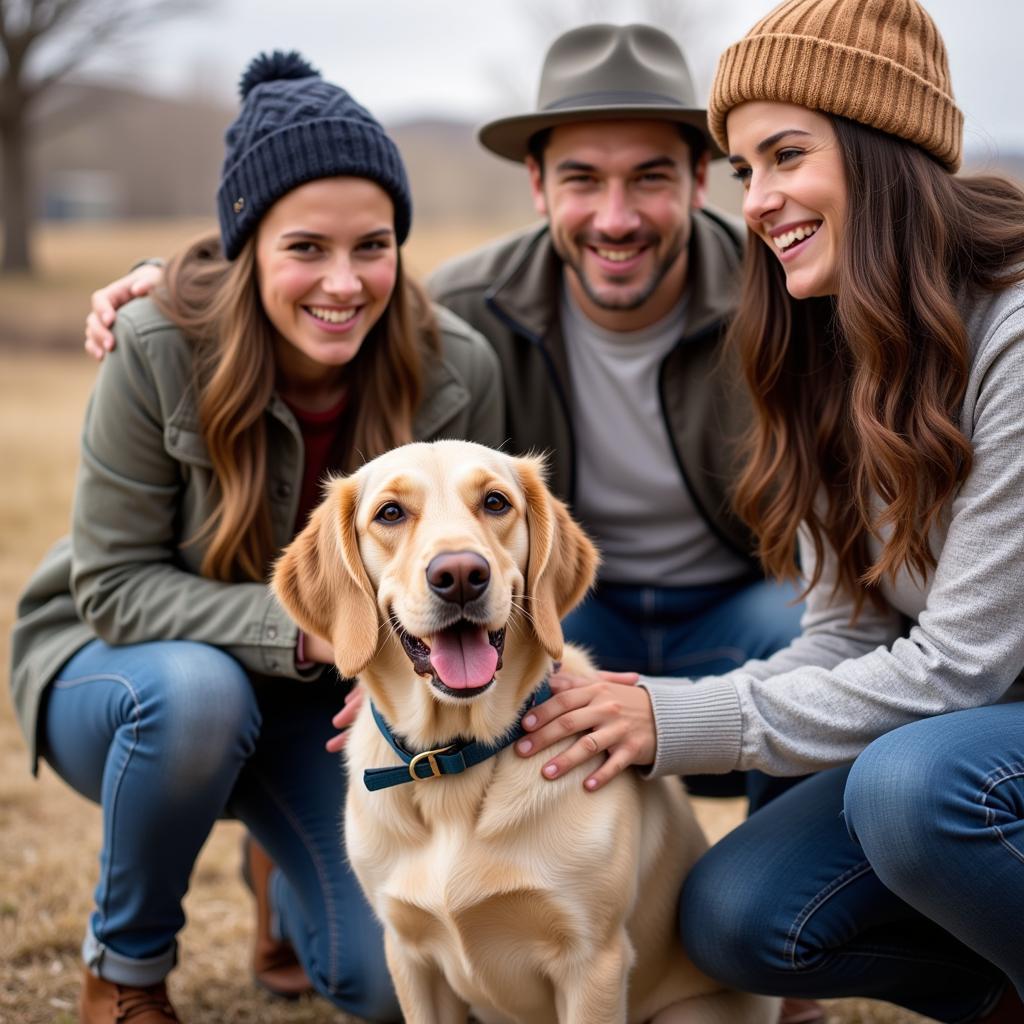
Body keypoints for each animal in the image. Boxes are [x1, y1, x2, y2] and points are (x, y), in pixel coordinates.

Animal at [272, 440, 774, 1024]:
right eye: (390, 513)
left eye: (495, 502)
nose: (461, 574)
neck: (453, 758)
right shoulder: (410, 956)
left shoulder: (593, 961)